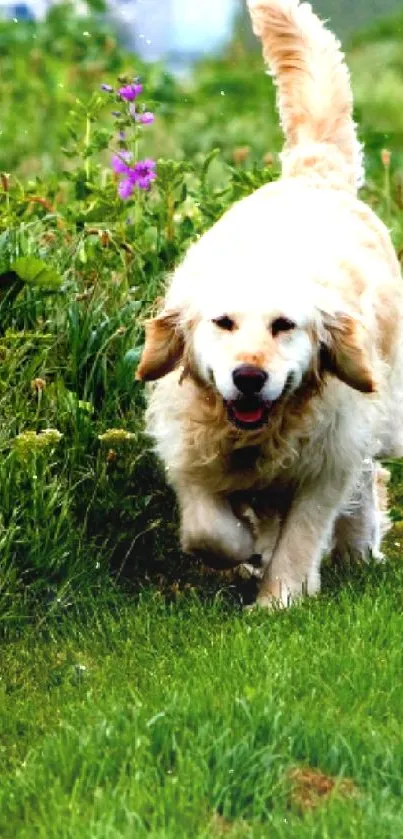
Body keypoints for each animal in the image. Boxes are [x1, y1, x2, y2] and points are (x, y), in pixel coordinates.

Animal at [137, 0, 402, 608]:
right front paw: (242, 553)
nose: (249, 377)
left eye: (285, 326)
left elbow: (303, 532)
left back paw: (359, 549)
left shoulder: (327, 458)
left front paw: (280, 598)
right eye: (223, 323)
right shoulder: (189, 451)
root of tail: (312, 176)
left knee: (368, 478)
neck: (255, 436)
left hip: (385, 414)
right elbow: (209, 529)